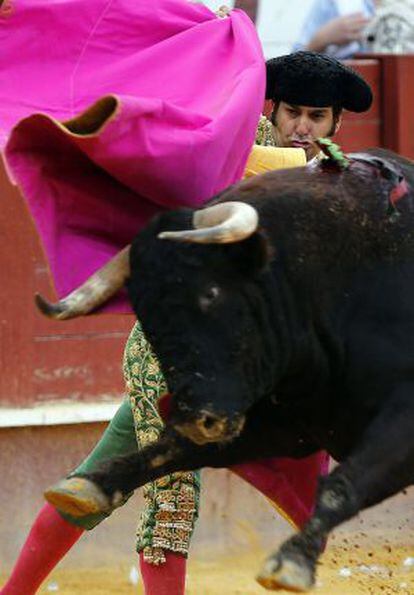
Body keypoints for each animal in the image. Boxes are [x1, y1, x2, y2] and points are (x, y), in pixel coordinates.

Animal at [36, 148, 414, 592]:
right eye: (144, 314)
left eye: (211, 293)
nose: (196, 418)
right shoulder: (276, 424)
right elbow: (169, 449)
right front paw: (90, 484)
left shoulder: (402, 421)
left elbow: (344, 483)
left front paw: (291, 562)